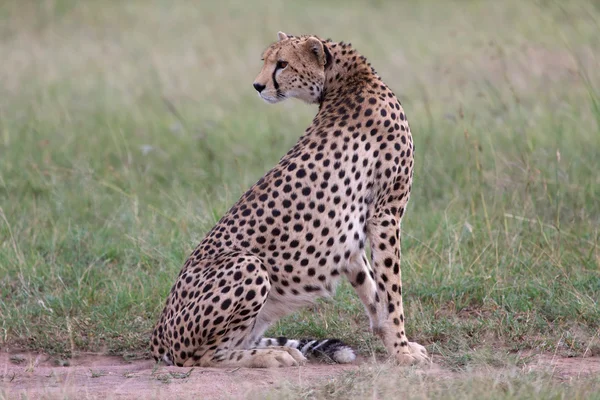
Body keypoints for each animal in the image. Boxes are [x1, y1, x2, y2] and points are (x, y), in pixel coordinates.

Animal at [150, 32, 432, 368]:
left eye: (282, 64)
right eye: (266, 61)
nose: (257, 86)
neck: (348, 79)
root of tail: (158, 329)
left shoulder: (353, 231)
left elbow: (374, 291)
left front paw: (395, 342)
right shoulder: (385, 214)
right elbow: (392, 290)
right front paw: (402, 349)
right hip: (248, 265)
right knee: (201, 357)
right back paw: (273, 355)